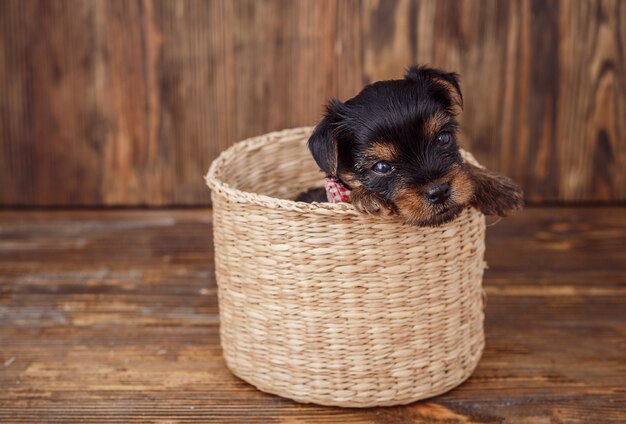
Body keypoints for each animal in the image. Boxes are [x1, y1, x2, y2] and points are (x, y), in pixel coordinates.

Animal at [298, 64, 520, 227]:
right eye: (381, 167)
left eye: (443, 139)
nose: (438, 190)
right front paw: (367, 196)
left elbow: (463, 165)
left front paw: (496, 187)